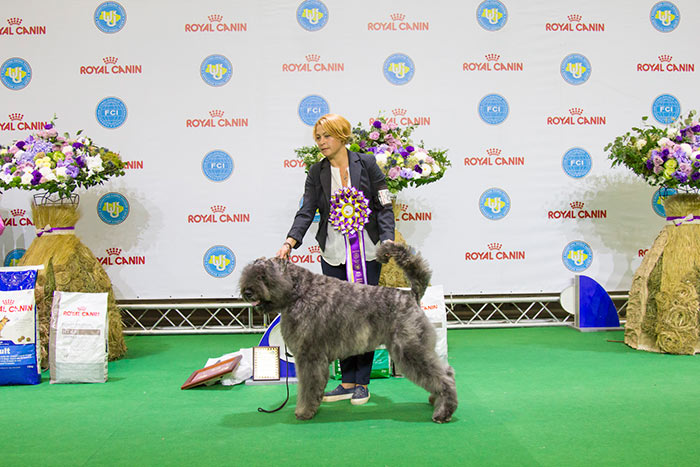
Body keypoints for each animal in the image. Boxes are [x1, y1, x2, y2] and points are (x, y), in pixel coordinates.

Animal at [239, 241, 458, 423]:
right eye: (248, 273)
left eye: (263, 275)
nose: (247, 291)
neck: (299, 292)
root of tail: (410, 294)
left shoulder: (309, 357)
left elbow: (308, 388)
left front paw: (304, 412)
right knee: (445, 372)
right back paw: (436, 400)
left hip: (411, 350)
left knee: (443, 377)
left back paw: (443, 412)